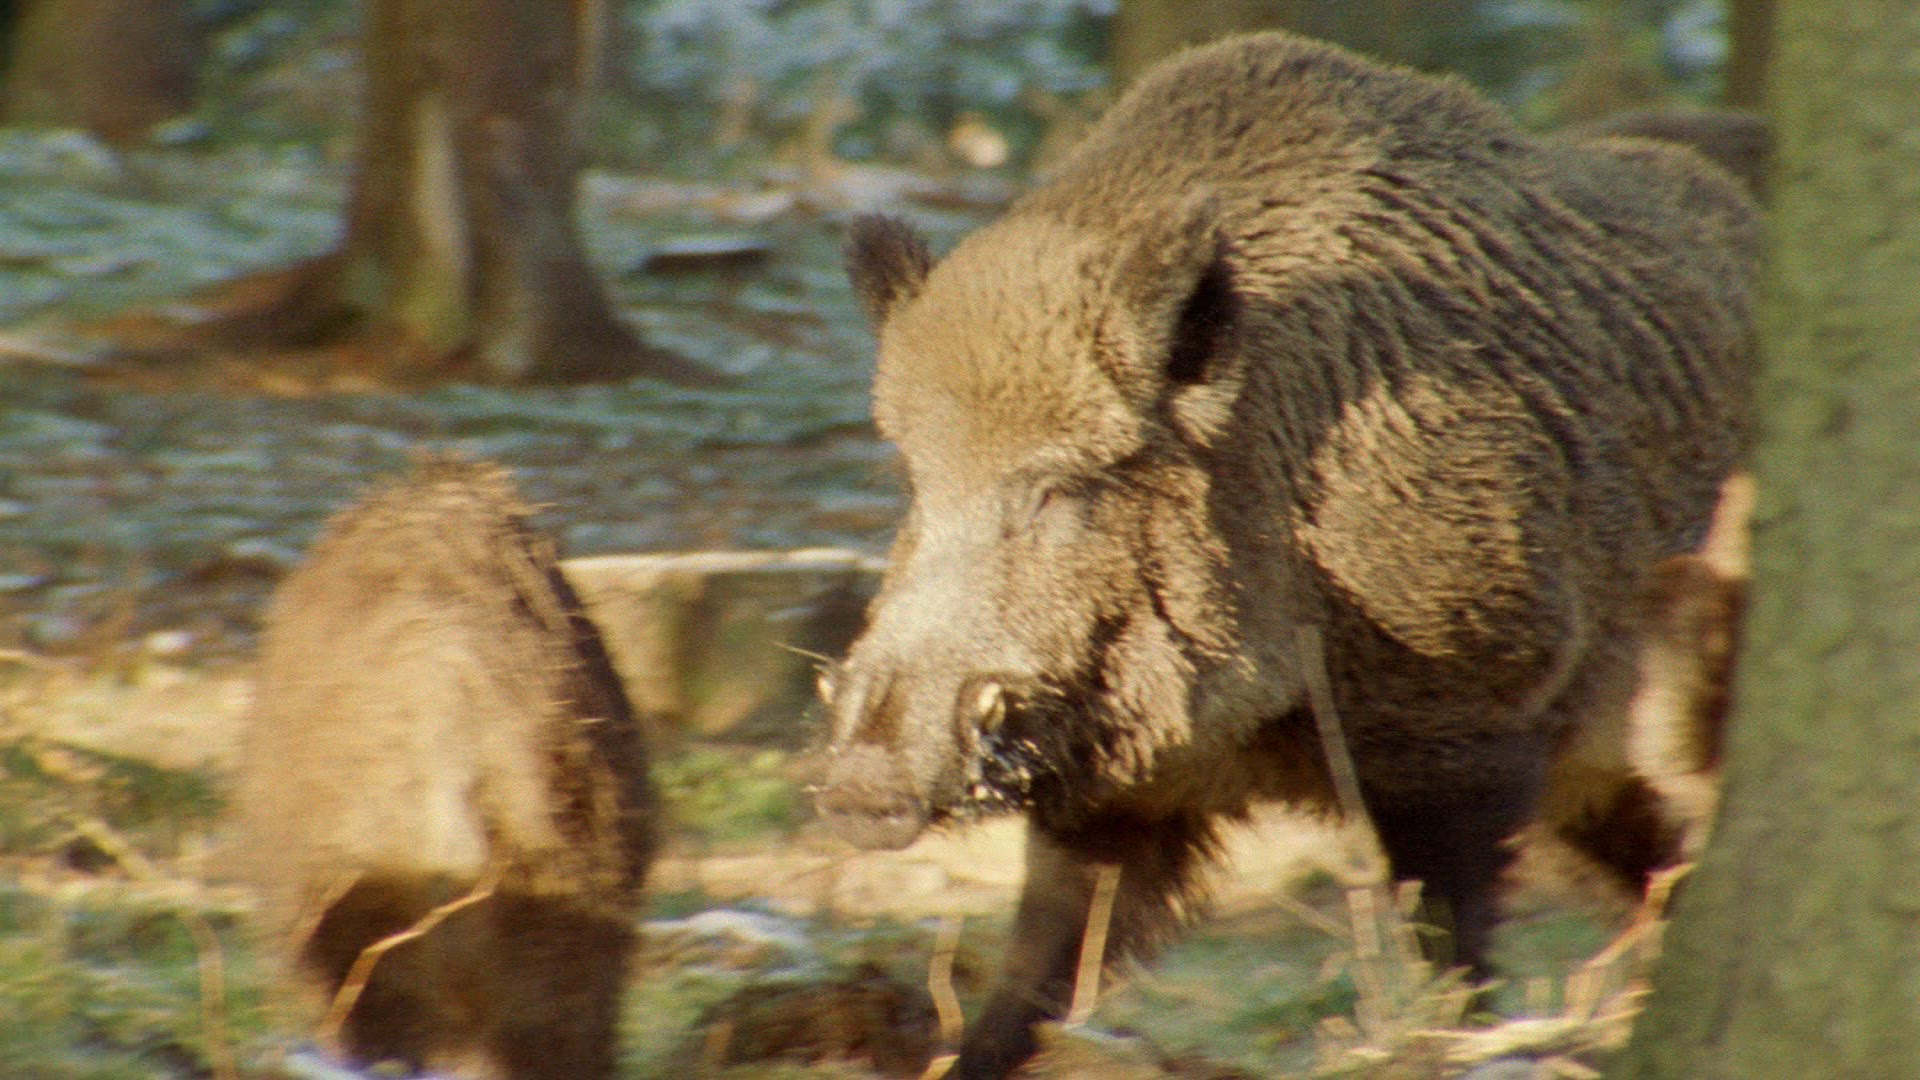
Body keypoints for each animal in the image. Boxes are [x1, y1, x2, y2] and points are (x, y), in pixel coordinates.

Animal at [814, 32, 1758, 1078]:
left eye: (1062, 486)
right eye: (915, 480)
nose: (856, 788)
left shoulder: (1471, 715)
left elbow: (1447, 931)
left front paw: (1447, 1034)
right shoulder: (1119, 797)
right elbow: (1044, 960)